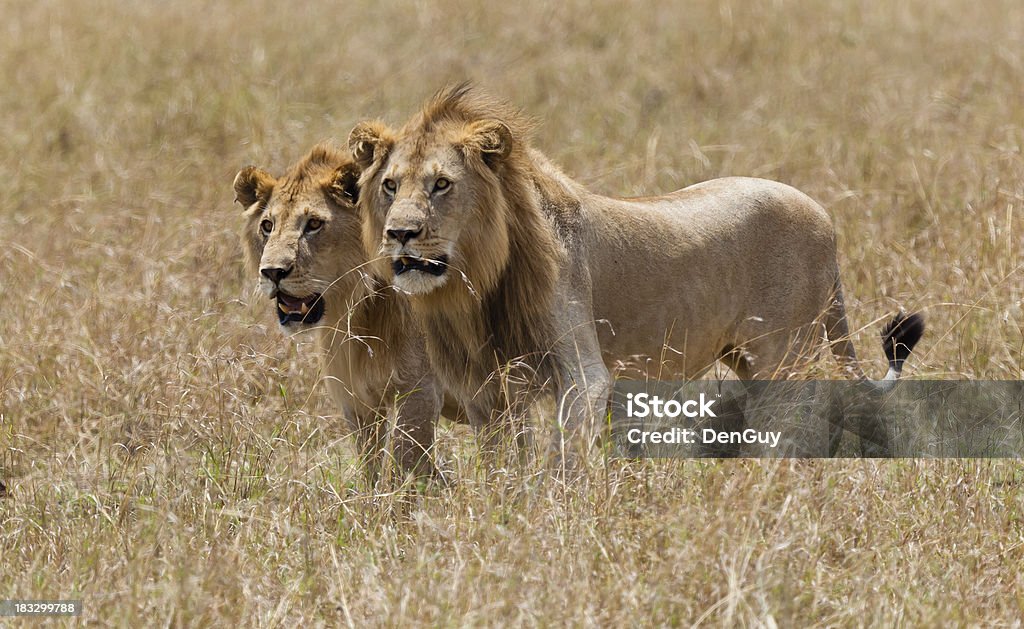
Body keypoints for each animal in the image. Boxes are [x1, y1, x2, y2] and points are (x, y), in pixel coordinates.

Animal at [237, 145, 454, 483]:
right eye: (267, 226)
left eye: (313, 224)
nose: (272, 272)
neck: (360, 308)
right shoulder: (358, 398)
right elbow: (371, 467)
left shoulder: (420, 389)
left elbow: (407, 465)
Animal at [348, 86, 925, 460]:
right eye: (391, 185)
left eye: (442, 184)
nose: (399, 233)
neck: (478, 284)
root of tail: (825, 217)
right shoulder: (486, 389)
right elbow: (505, 468)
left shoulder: (583, 376)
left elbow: (563, 463)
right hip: (749, 360)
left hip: (783, 360)